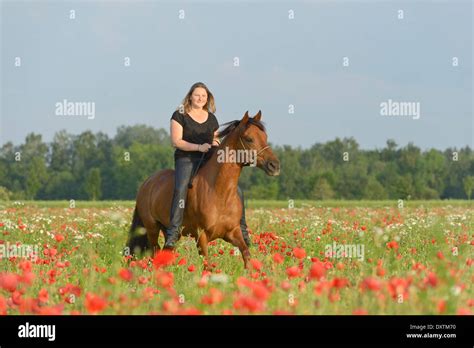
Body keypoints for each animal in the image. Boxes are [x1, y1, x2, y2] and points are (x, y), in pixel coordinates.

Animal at [127, 110, 282, 268]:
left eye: (265, 137)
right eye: (249, 139)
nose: (274, 165)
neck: (219, 193)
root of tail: (147, 183)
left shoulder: (233, 232)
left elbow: (246, 254)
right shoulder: (201, 235)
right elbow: (207, 265)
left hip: (167, 230)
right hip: (152, 227)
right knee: (155, 251)